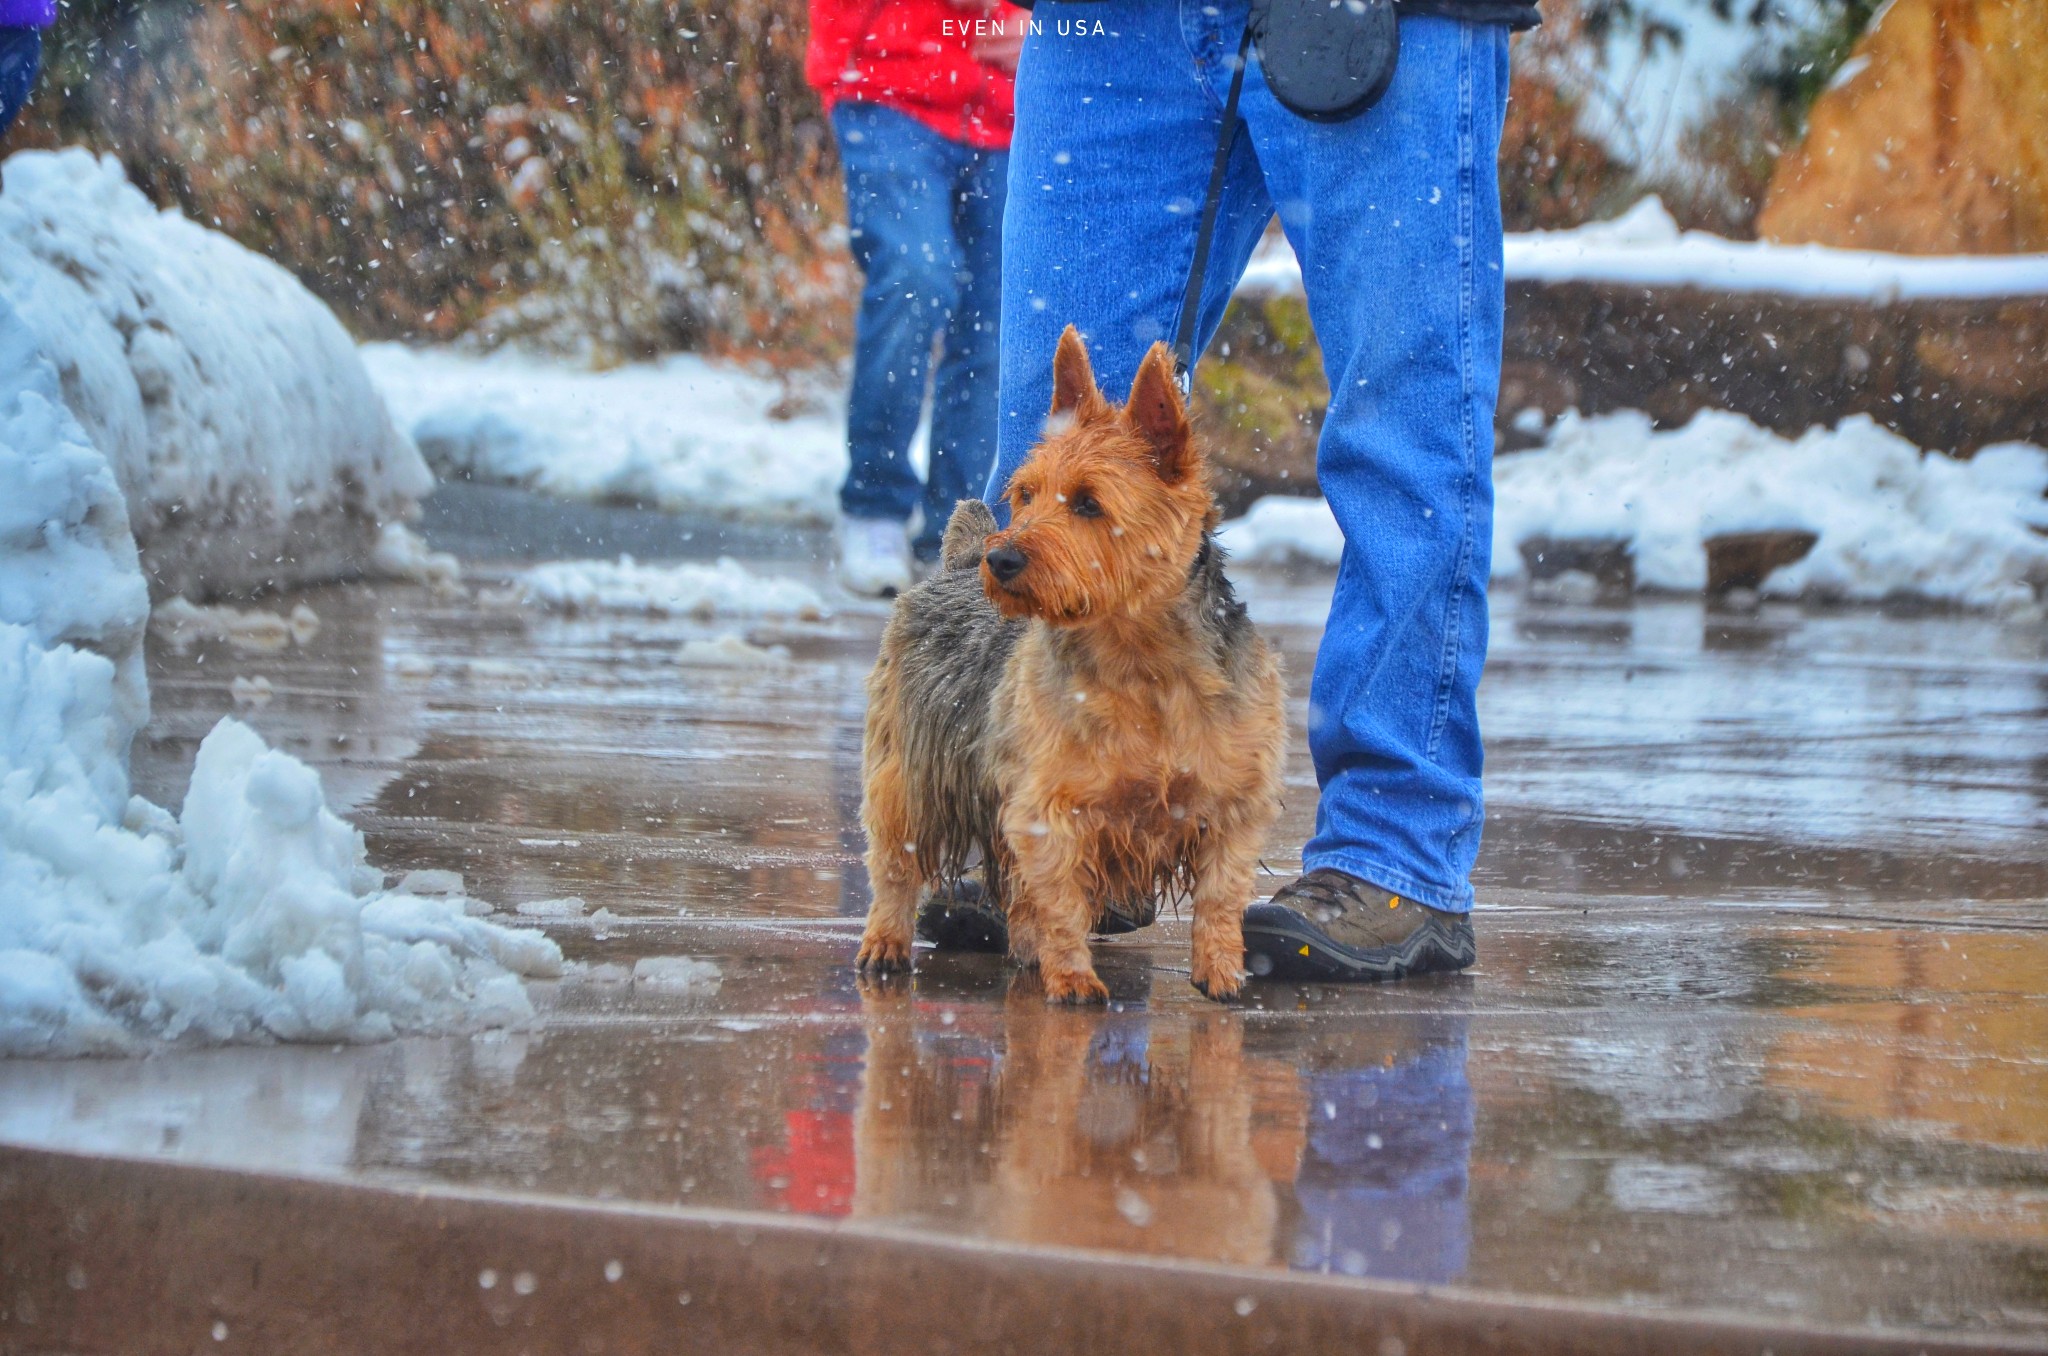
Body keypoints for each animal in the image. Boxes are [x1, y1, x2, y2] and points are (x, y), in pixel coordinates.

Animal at [847, 325, 1277, 1003]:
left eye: (1088, 503)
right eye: (1024, 494)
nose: (1003, 560)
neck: (1140, 657)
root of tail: (959, 559)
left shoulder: (1232, 802)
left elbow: (1219, 897)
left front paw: (1221, 972)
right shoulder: (1051, 805)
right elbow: (1061, 898)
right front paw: (1072, 975)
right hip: (905, 771)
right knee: (895, 863)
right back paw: (886, 942)